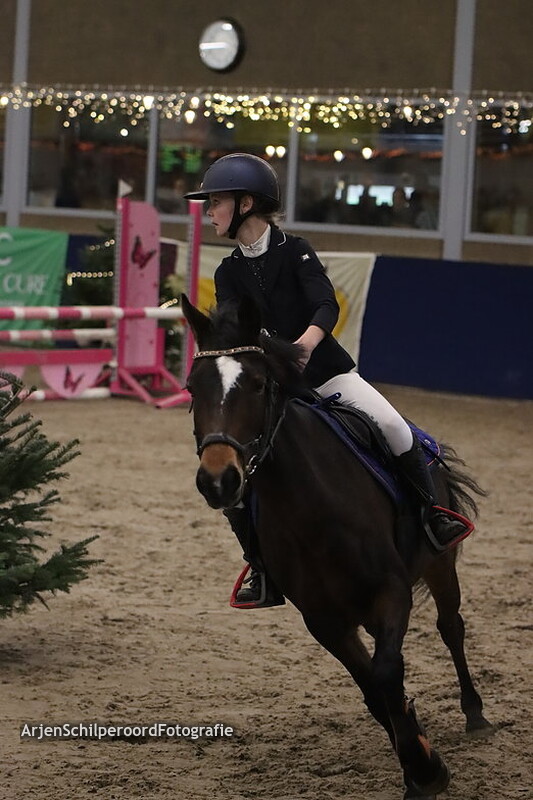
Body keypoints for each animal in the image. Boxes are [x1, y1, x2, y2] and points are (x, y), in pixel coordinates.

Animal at [181, 293, 492, 800]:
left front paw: (425, 771)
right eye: (191, 388)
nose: (218, 481)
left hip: (439, 563)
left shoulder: (391, 592)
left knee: (451, 627)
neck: (309, 507)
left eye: (259, 384)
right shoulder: (323, 619)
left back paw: (476, 714)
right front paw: (416, 757)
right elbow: (373, 689)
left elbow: (386, 673)